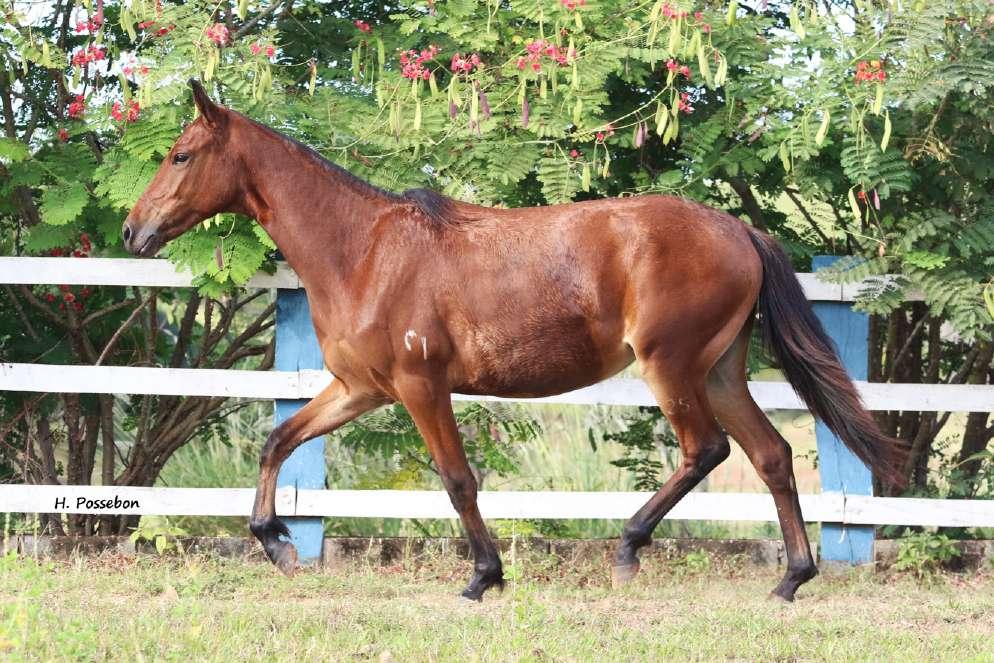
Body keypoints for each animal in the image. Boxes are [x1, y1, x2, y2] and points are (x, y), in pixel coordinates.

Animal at [120, 80, 904, 604]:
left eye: (182, 155)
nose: (133, 230)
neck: (363, 250)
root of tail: (740, 229)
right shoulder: (359, 387)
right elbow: (277, 440)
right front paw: (276, 543)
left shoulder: (420, 385)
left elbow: (457, 479)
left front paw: (482, 576)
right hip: (718, 369)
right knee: (770, 455)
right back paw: (791, 579)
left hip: (672, 366)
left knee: (705, 449)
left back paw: (628, 548)